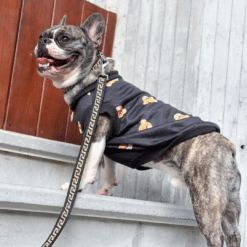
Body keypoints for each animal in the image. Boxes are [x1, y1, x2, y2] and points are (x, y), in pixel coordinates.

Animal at [34, 14, 241, 247]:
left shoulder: (96, 131)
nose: (42, 40)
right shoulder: (107, 141)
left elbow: (87, 166)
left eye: (64, 38)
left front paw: (77, 187)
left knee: (215, 235)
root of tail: (227, 145)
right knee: (234, 233)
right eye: (43, 35)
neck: (93, 79)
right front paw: (107, 190)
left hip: (206, 199)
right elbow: (109, 167)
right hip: (230, 203)